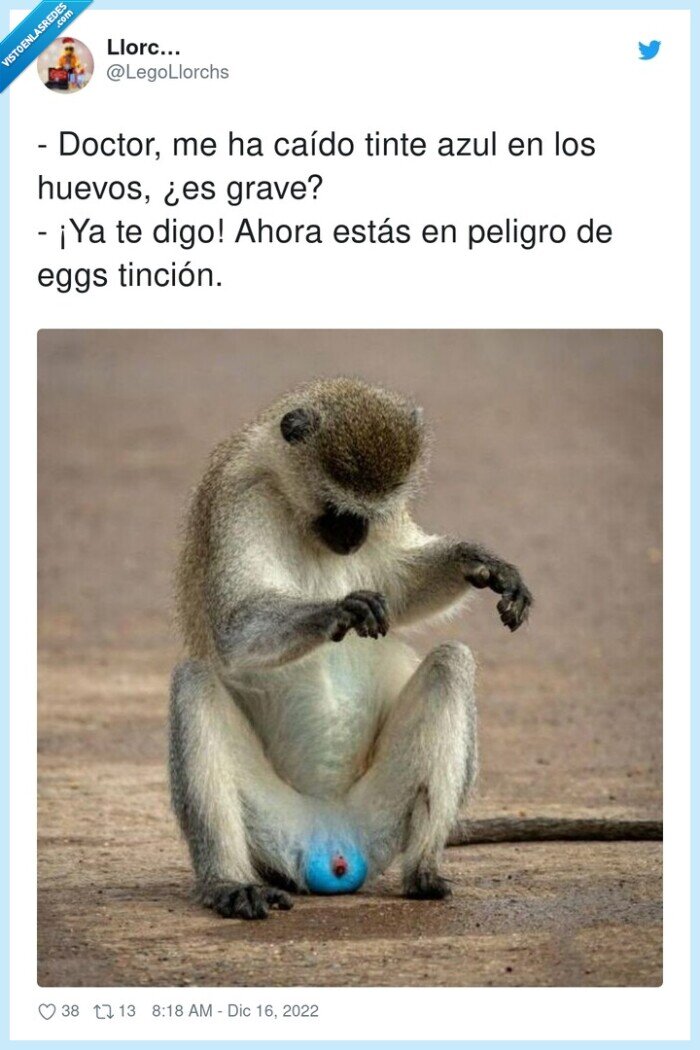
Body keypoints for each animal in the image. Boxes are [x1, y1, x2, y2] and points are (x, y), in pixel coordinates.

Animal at [169, 377, 532, 920]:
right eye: (337, 509)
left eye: (373, 513)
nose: (356, 536)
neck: (287, 494)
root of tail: (332, 836)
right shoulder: (239, 498)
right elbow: (234, 627)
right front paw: (339, 609)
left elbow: (399, 585)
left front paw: (483, 562)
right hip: (271, 824)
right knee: (193, 681)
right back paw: (228, 882)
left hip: (382, 816)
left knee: (451, 663)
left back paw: (423, 871)